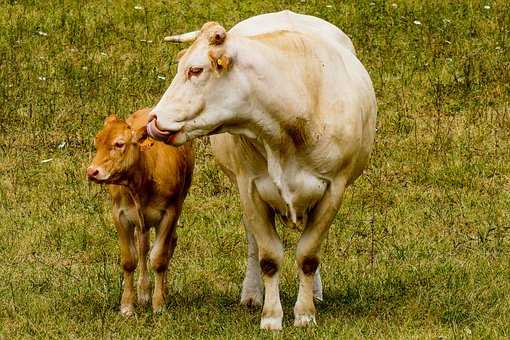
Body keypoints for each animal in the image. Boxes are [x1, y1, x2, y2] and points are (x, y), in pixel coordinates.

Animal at [86, 108, 194, 316]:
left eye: (119, 144)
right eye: (97, 142)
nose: (92, 172)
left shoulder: (169, 214)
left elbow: (159, 259)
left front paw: (159, 304)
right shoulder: (120, 215)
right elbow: (130, 260)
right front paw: (127, 305)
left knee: (169, 245)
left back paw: (162, 290)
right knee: (143, 247)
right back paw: (143, 292)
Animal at [145, 9, 376, 330]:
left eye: (195, 70)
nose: (153, 120)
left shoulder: (334, 188)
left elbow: (308, 254)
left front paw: (305, 313)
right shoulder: (251, 189)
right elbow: (269, 257)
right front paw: (271, 316)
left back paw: (315, 293)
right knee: (254, 244)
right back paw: (252, 294)